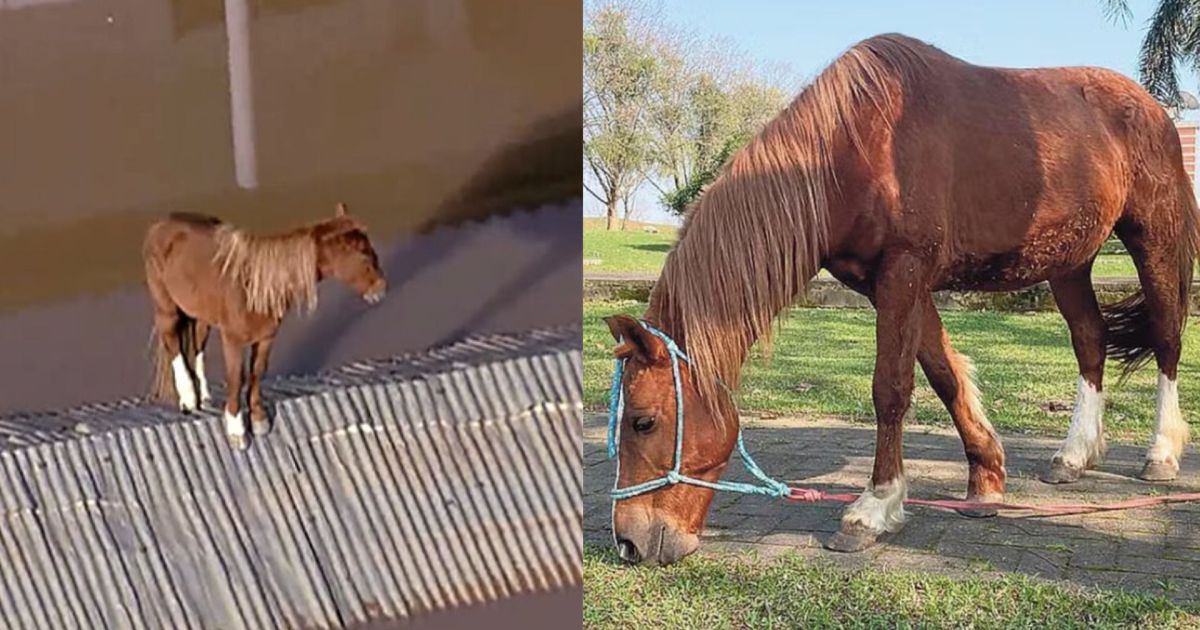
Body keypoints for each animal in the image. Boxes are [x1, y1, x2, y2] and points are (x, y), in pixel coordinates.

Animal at [143, 202, 387, 449]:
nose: (381, 289)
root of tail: (162, 224)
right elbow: (236, 377)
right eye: (363, 255)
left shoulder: (266, 338)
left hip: (201, 315)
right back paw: (188, 398)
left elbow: (257, 372)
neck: (253, 286)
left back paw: (203, 395)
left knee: (197, 346)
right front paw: (237, 430)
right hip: (166, 309)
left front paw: (259, 419)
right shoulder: (232, 339)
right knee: (173, 344)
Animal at [605, 33, 1200, 565]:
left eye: (643, 422)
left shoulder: (904, 272)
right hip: (1069, 263)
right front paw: (985, 482)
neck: (854, 148)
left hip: (1155, 238)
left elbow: (890, 388)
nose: (630, 542)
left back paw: (1161, 454)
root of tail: (1153, 107)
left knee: (1167, 339)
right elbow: (944, 375)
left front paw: (873, 509)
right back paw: (1074, 456)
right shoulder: (890, 284)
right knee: (1090, 341)